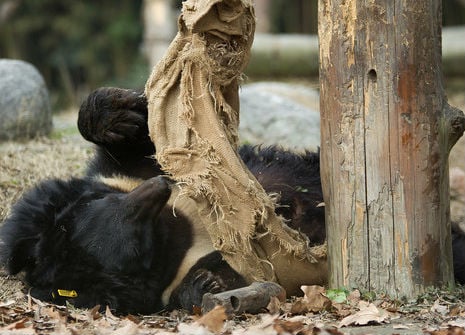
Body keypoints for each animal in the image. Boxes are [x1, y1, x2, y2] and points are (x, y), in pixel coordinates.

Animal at [0, 86, 326, 316]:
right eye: (137, 243)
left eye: (102, 203)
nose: (159, 188)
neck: (176, 231)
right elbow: (246, 271)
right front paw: (205, 283)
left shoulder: (126, 176)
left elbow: (144, 148)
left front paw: (120, 112)